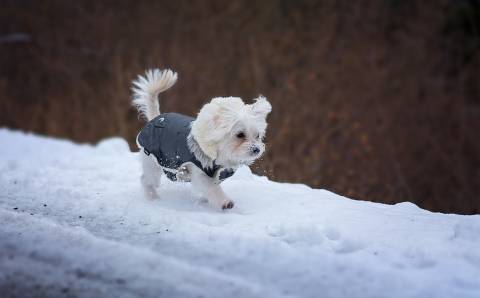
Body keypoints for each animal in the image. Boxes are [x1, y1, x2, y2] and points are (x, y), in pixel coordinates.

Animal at [131, 69, 272, 210]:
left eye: (257, 135)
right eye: (240, 135)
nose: (257, 149)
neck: (220, 155)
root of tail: (155, 118)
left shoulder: (218, 175)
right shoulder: (200, 173)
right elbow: (212, 188)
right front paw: (224, 202)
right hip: (153, 162)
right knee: (146, 180)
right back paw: (152, 197)